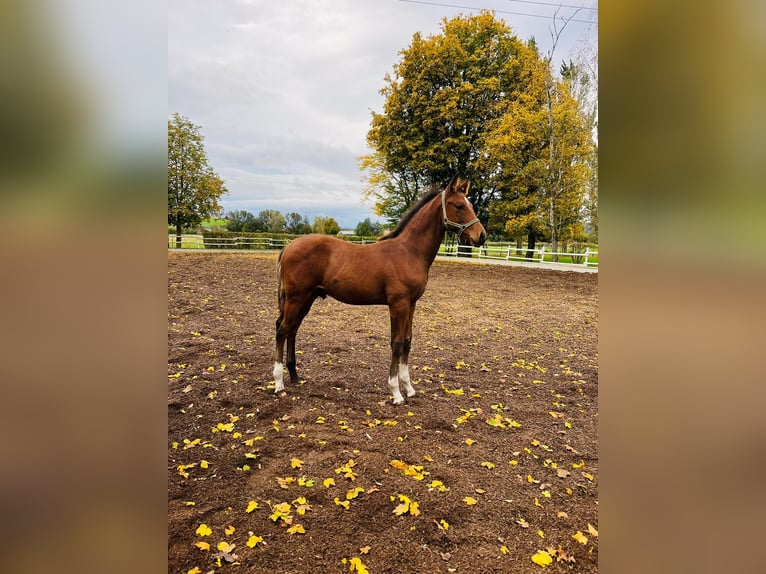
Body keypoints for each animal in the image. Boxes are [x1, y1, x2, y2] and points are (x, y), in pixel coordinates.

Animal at [272, 176, 486, 404]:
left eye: (470, 205)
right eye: (459, 206)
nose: (481, 236)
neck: (409, 251)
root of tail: (288, 246)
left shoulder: (411, 304)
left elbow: (408, 341)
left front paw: (409, 388)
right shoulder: (398, 304)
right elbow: (397, 343)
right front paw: (396, 393)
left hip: (307, 298)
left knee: (293, 329)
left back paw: (294, 375)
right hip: (296, 298)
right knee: (282, 330)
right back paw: (279, 384)